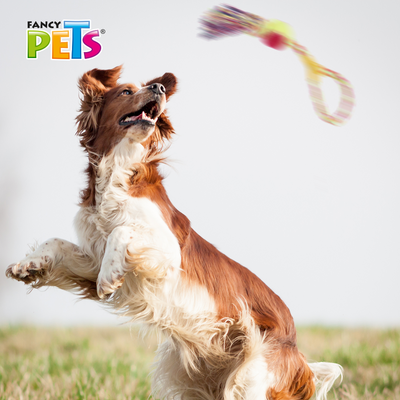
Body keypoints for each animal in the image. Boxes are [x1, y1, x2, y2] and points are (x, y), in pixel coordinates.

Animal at [7, 66, 340, 400]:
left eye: (145, 87)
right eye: (126, 91)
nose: (158, 88)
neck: (119, 172)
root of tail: (298, 353)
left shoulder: (167, 252)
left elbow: (122, 232)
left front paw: (109, 277)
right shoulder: (92, 255)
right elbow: (57, 242)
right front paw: (28, 265)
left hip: (253, 377)